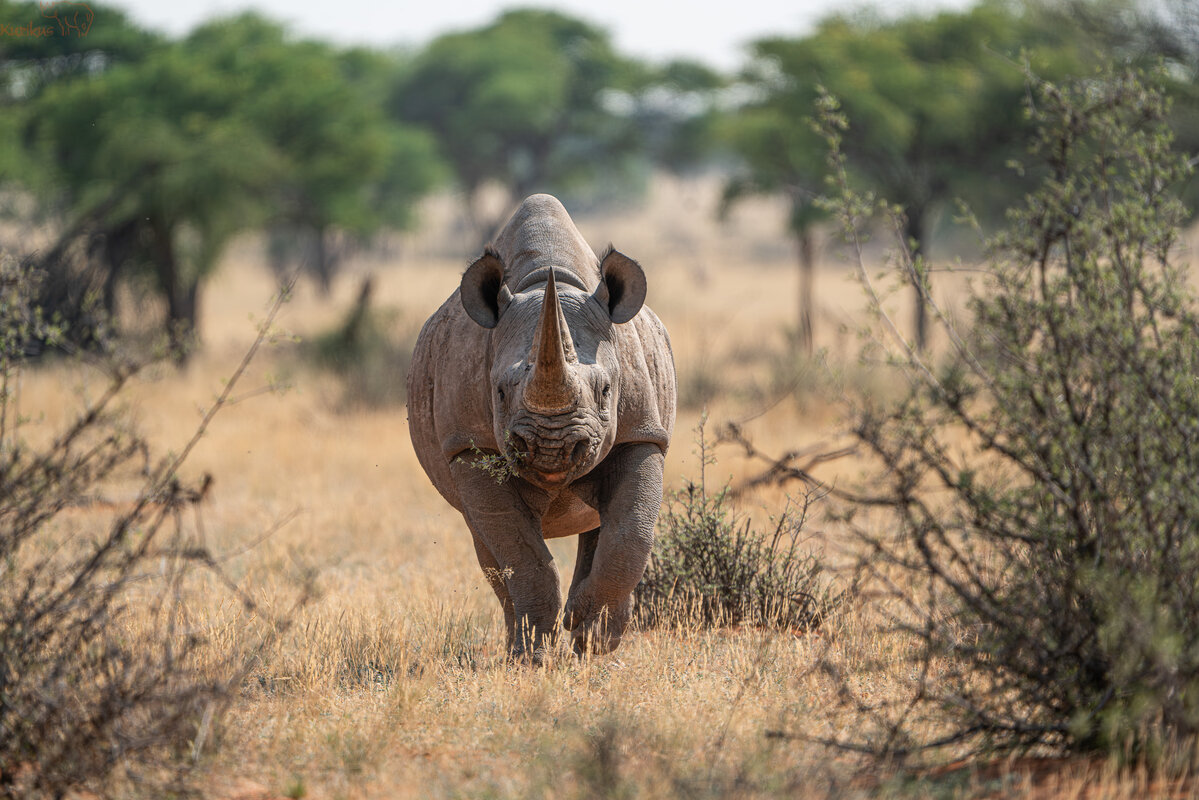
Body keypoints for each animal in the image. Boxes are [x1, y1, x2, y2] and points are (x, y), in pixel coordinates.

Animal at [407, 194, 676, 661]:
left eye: (606, 390)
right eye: (498, 393)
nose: (552, 448)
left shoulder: (642, 432)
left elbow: (632, 532)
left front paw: (591, 636)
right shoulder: (471, 447)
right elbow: (519, 552)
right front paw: (534, 654)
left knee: (600, 524)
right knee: (487, 543)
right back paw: (521, 644)